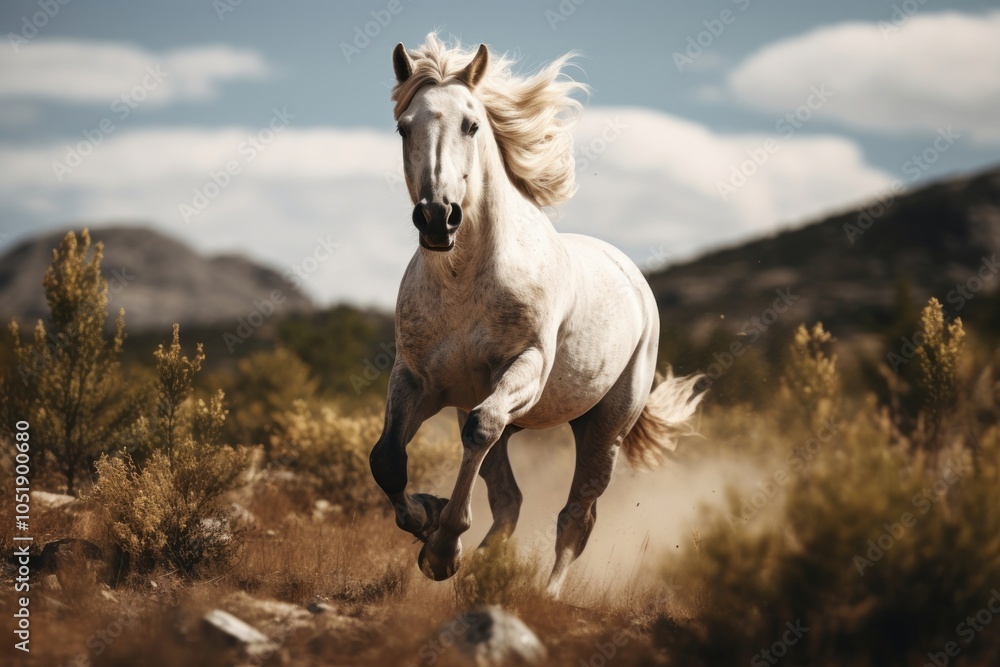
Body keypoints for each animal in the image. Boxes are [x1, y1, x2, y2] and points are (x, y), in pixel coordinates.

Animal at [369, 34, 703, 597]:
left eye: (471, 124)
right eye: (403, 126)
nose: (437, 217)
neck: (464, 281)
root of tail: (635, 280)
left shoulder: (524, 368)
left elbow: (480, 431)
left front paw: (442, 547)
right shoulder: (417, 380)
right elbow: (387, 460)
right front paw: (429, 523)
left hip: (603, 428)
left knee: (575, 515)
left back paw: (545, 594)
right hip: (508, 419)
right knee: (509, 499)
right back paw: (478, 566)